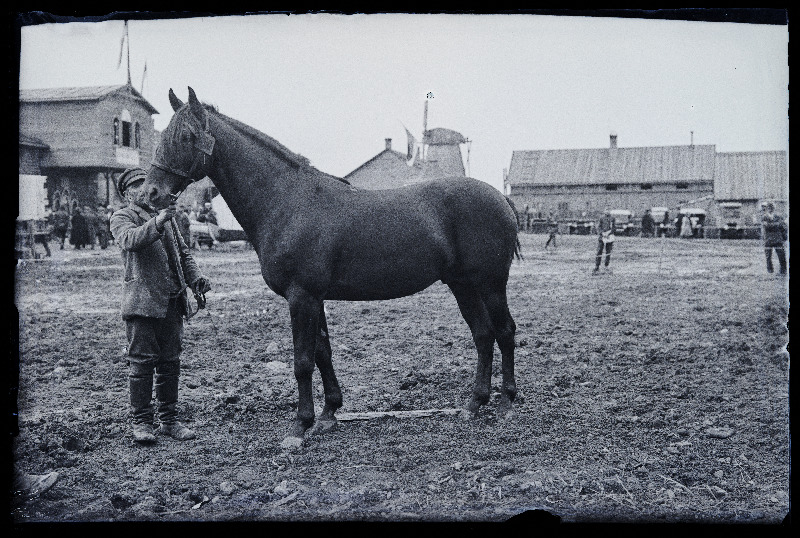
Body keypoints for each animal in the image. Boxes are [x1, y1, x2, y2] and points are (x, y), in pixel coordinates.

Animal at [141, 88, 520, 448]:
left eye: (185, 136)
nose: (150, 194)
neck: (286, 202)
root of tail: (500, 198)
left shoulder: (302, 297)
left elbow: (303, 361)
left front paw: (299, 426)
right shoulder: (315, 298)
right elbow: (323, 352)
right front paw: (328, 414)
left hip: (490, 284)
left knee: (504, 331)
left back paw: (506, 402)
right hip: (462, 284)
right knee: (483, 334)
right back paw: (474, 403)